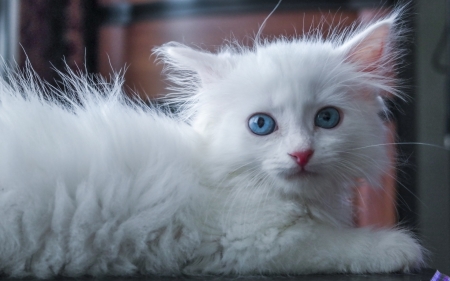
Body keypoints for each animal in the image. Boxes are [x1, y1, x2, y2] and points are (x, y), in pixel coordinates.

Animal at [0, 9, 422, 276]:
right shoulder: (253, 244)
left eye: (327, 119)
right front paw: (396, 247)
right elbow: (338, 245)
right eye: (261, 124)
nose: (301, 153)